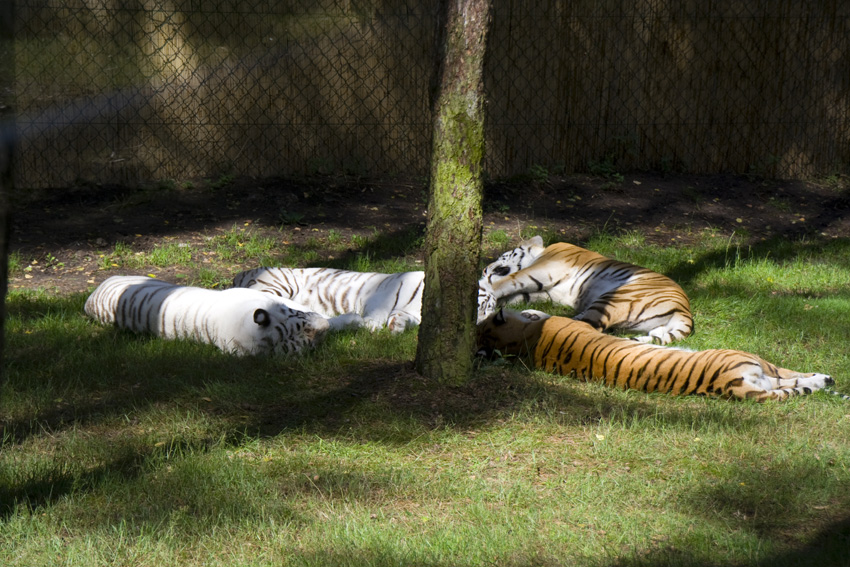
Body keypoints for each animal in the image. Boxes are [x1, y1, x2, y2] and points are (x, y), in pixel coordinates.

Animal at [229, 268, 424, 336]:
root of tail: (241, 273)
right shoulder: (386, 292)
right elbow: (377, 317)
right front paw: (367, 324)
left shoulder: (414, 315)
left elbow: (405, 318)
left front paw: (397, 326)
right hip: (279, 284)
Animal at [474, 308, 840, 402]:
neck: (519, 344)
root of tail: (727, 385)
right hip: (755, 360)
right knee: (794, 376)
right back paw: (827, 379)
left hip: (762, 378)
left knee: (792, 386)